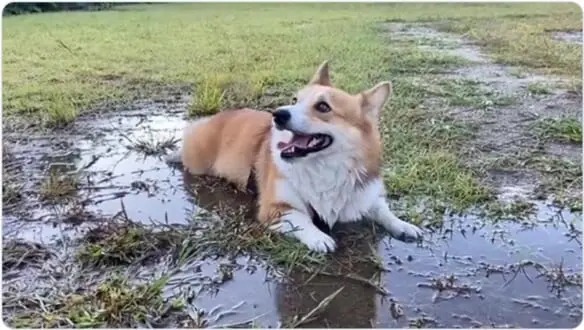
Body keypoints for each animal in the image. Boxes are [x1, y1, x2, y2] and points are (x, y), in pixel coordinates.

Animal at [167, 60, 422, 251]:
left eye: (323, 107)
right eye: (294, 100)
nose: (277, 114)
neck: (324, 166)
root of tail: (214, 119)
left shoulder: (363, 197)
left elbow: (383, 210)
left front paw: (403, 226)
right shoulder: (276, 209)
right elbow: (301, 219)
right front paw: (319, 237)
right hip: (198, 162)